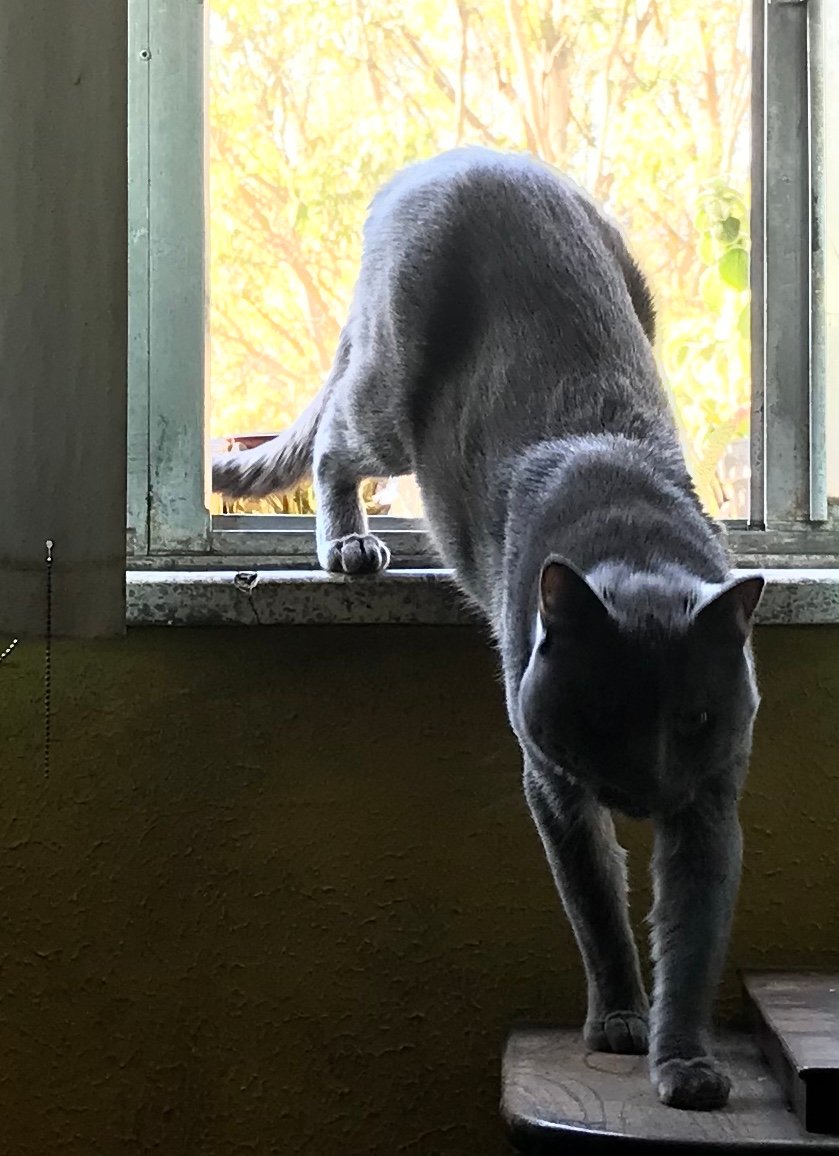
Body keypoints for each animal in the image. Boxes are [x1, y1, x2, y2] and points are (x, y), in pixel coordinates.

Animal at [213, 149, 767, 1105]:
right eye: (600, 715)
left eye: (694, 717)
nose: (644, 790)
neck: (631, 529)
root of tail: (458, 159)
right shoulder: (552, 784)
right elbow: (595, 909)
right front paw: (618, 1027)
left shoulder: (709, 799)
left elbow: (693, 943)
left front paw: (687, 1067)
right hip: (388, 393)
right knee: (333, 440)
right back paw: (350, 547)